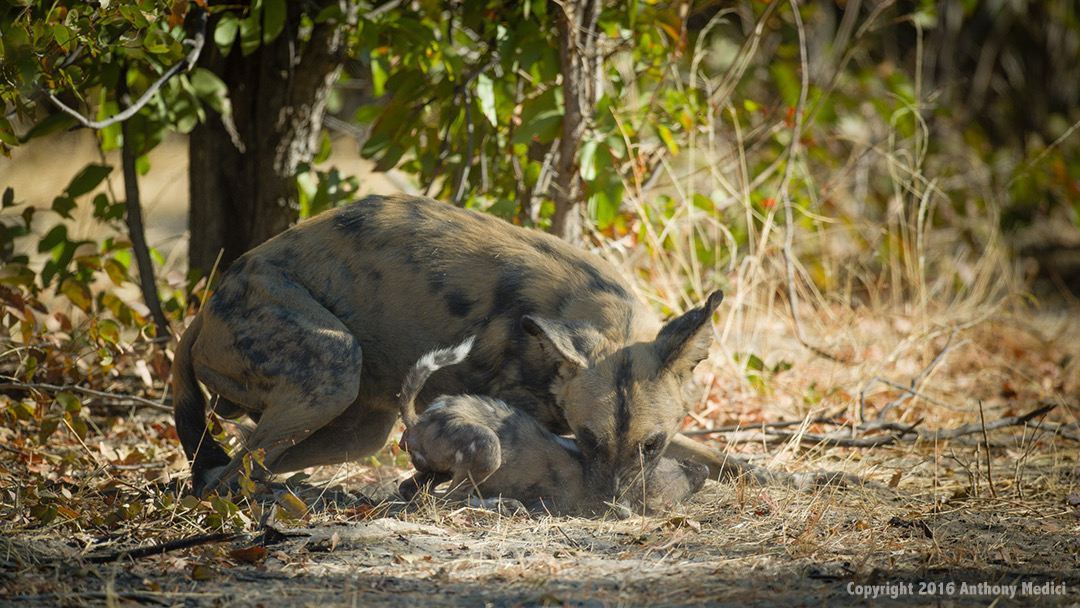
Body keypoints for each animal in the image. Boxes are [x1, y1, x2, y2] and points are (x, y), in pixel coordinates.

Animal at [397, 336, 708, 514]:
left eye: (677, 461)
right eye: (672, 499)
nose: (703, 470)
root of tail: (419, 421)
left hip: (437, 468)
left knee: (410, 488)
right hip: (487, 447)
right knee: (453, 498)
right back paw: (504, 505)